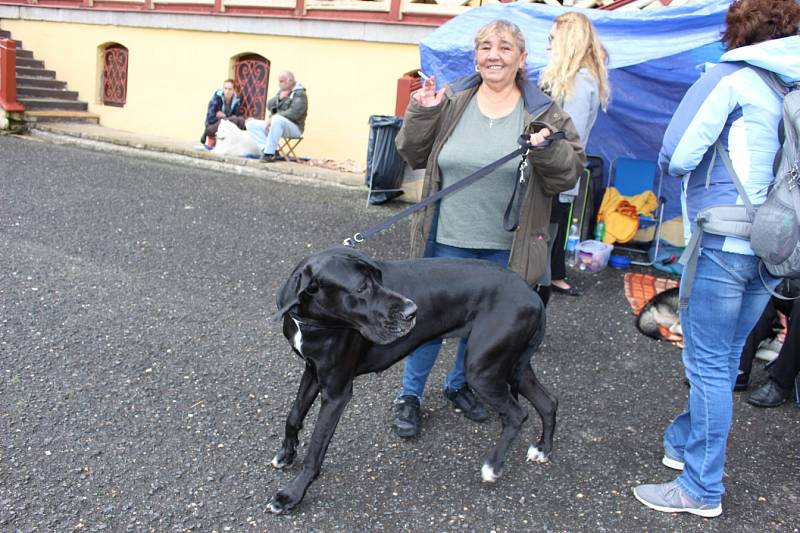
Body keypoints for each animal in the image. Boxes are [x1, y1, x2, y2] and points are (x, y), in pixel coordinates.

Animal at [268, 247, 556, 512]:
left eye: (379, 278)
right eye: (362, 287)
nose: (412, 311)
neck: (310, 320)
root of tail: (532, 294)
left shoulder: (336, 392)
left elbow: (316, 448)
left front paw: (291, 495)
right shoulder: (313, 371)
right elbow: (294, 416)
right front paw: (286, 454)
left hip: (482, 370)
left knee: (517, 414)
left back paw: (493, 466)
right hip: (510, 365)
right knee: (548, 402)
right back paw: (543, 449)